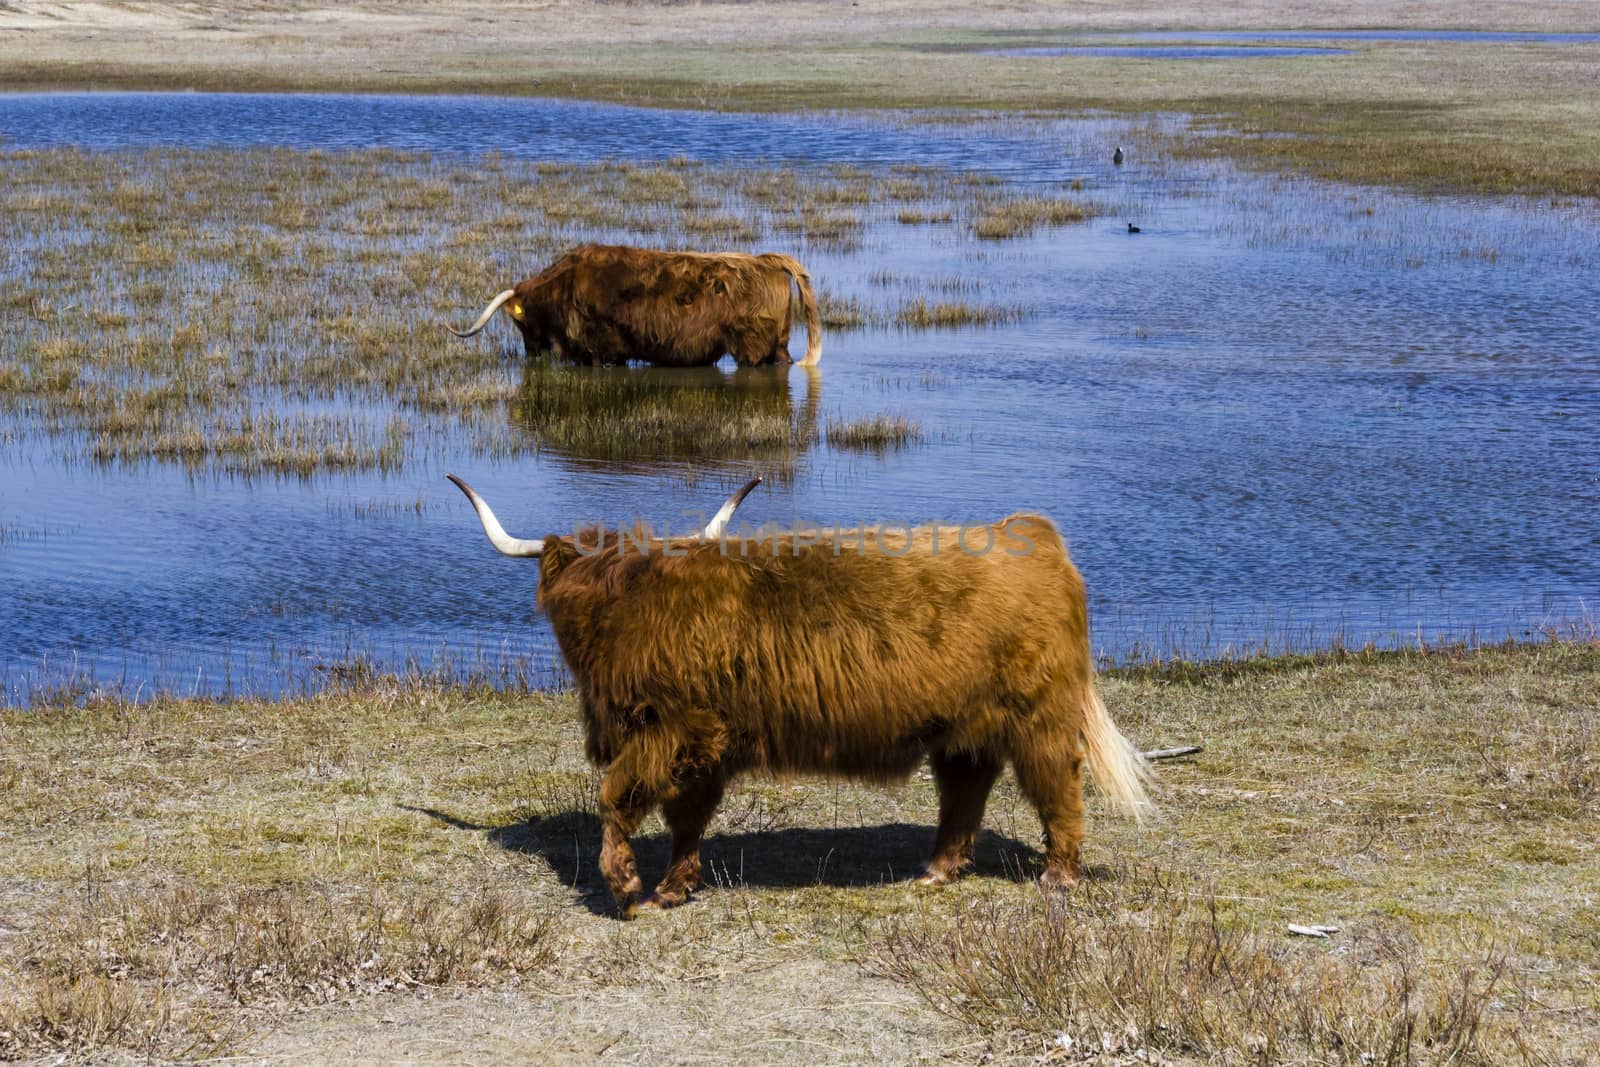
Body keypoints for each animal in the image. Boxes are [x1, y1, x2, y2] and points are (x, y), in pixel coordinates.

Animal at [448, 476, 1152, 921]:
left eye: (619, 591)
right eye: (586, 593)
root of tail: (1030, 536)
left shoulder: (673, 729)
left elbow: (618, 796)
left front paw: (624, 887)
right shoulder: (706, 744)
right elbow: (686, 818)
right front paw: (674, 888)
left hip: (1040, 717)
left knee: (1057, 786)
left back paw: (1057, 875)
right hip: (962, 728)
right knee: (964, 790)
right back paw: (937, 869)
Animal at [451, 244, 825, 369]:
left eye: (521, 322)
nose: (530, 351)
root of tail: (766, 261)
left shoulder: (603, 352)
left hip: (753, 349)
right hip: (777, 345)